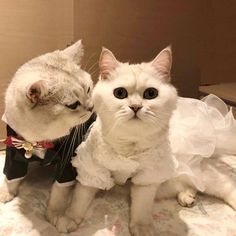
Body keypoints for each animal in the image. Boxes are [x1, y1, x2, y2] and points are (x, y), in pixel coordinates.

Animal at [0, 40, 95, 227]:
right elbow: (11, 176)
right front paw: (6, 191)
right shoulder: (13, 151)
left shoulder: (67, 160)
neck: (37, 139)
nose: (91, 107)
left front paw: (55, 213)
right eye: (73, 105)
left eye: (88, 89)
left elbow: (59, 190)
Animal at [54, 45, 177, 234]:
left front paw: (142, 227)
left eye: (151, 93)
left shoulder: (148, 177)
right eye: (120, 93)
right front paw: (70, 218)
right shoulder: (92, 170)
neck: (128, 144)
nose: (135, 107)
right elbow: (79, 199)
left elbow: (142, 207)